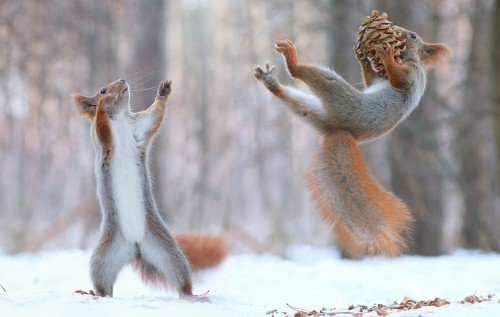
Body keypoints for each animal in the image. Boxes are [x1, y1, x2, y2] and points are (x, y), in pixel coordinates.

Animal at [72, 78, 229, 296]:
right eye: (102, 90)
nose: (122, 81)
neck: (119, 118)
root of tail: (136, 247)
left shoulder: (139, 127)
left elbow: (155, 116)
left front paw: (163, 92)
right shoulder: (101, 138)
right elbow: (100, 123)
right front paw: (103, 104)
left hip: (167, 251)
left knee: (180, 279)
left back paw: (193, 296)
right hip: (103, 258)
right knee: (103, 284)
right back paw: (94, 294)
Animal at [256, 11, 452, 258]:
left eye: (414, 36)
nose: (398, 30)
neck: (410, 58)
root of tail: (339, 130)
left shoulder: (411, 77)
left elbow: (398, 78)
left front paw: (386, 55)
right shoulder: (380, 79)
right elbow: (371, 80)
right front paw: (362, 57)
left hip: (340, 96)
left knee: (306, 74)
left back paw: (292, 61)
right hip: (315, 112)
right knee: (297, 103)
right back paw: (272, 83)